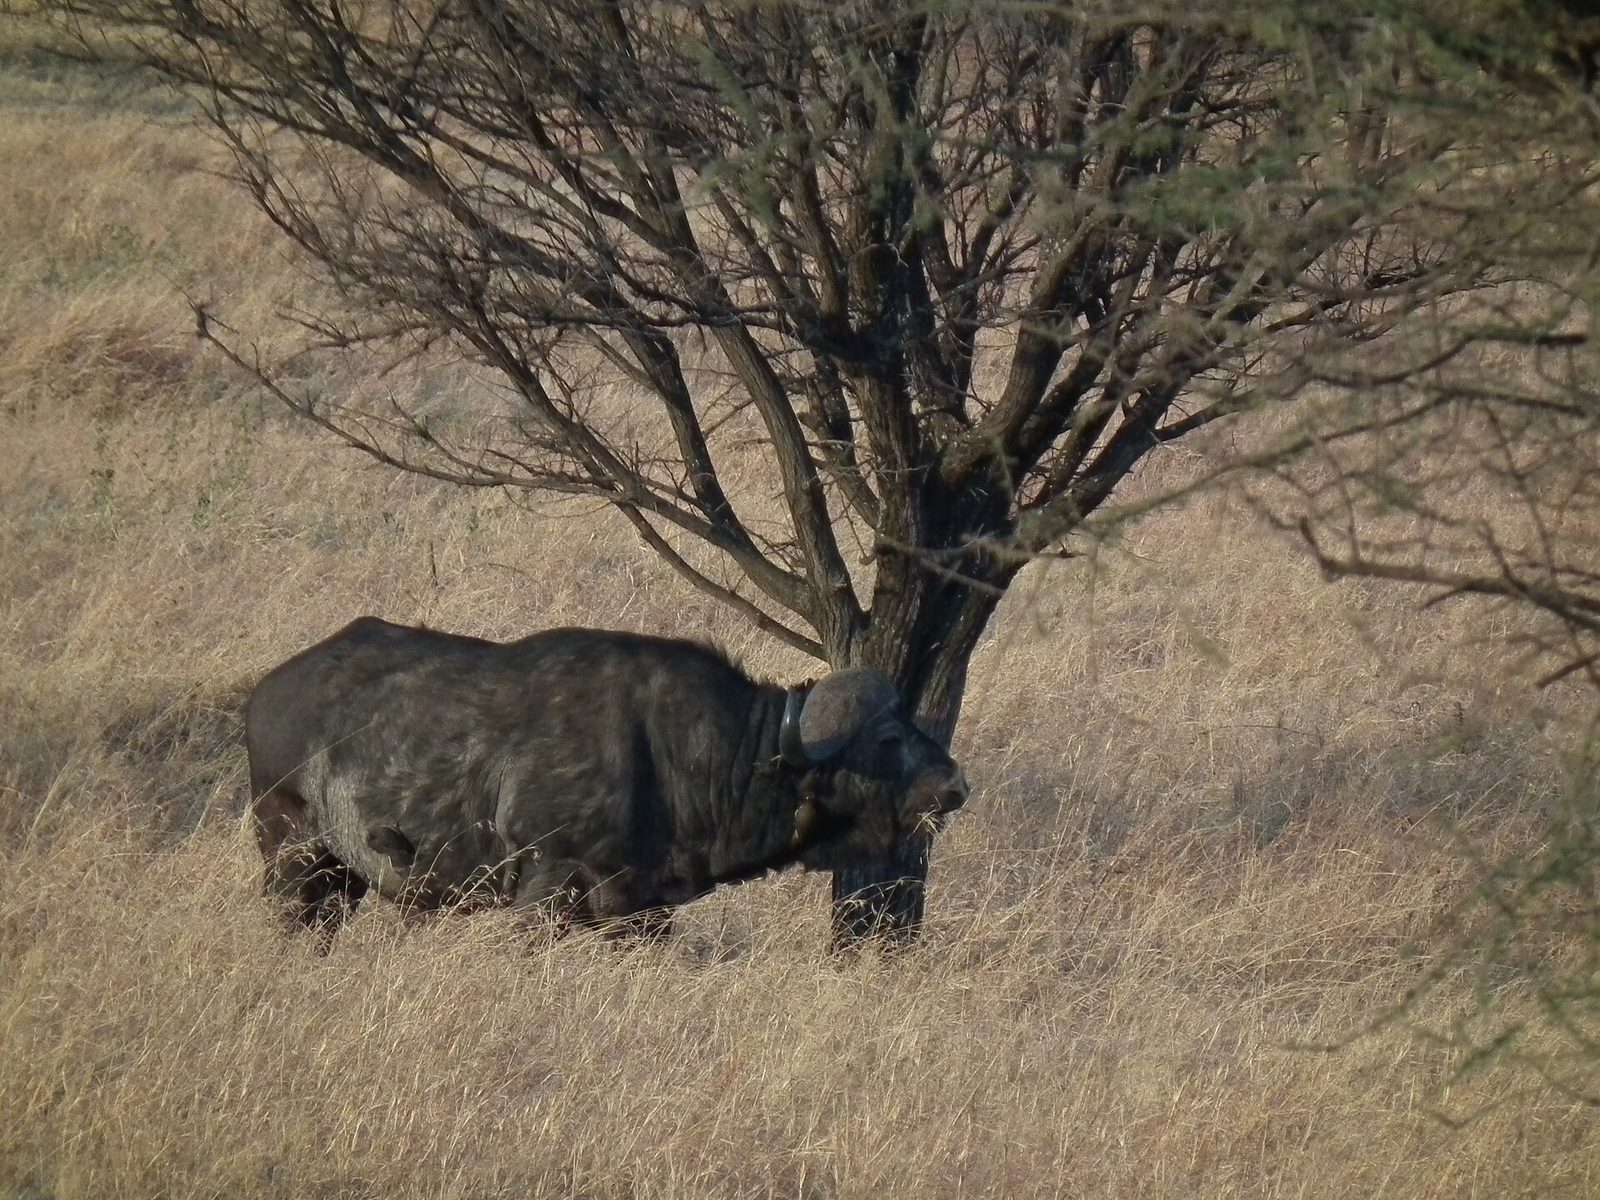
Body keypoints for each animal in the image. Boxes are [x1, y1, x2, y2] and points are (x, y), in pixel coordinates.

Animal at [245, 618, 968, 944]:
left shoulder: (642, 913)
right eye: (887, 739)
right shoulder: (544, 893)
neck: (681, 754)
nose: (955, 785)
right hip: (295, 863)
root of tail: (267, 693)